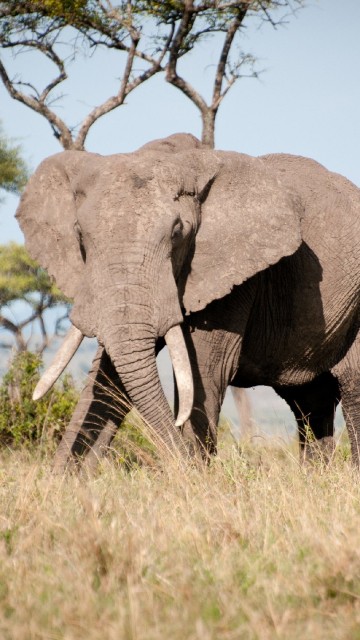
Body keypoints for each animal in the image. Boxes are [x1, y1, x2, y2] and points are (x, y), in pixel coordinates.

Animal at [16, 134, 360, 470]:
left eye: (177, 233)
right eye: (80, 234)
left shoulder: (235, 279)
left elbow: (205, 372)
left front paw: (195, 476)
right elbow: (108, 377)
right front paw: (63, 479)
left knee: (351, 389)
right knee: (311, 400)